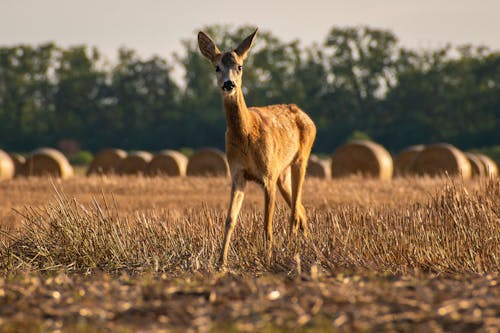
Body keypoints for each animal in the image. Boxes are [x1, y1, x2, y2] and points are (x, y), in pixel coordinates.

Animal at [197, 29, 314, 268]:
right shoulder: (238, 174)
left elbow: (267, 224)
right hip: (282, 173)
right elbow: (230, 219)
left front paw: (268, 258)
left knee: (295, 209)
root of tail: (308, 118)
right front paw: (221, 262)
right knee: (300, 208)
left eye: (240, 66)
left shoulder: (267, 176)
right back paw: (303, 245)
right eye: (216, 67)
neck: (246, 134)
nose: (229, 84)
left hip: (300, 160)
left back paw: (293, 248)